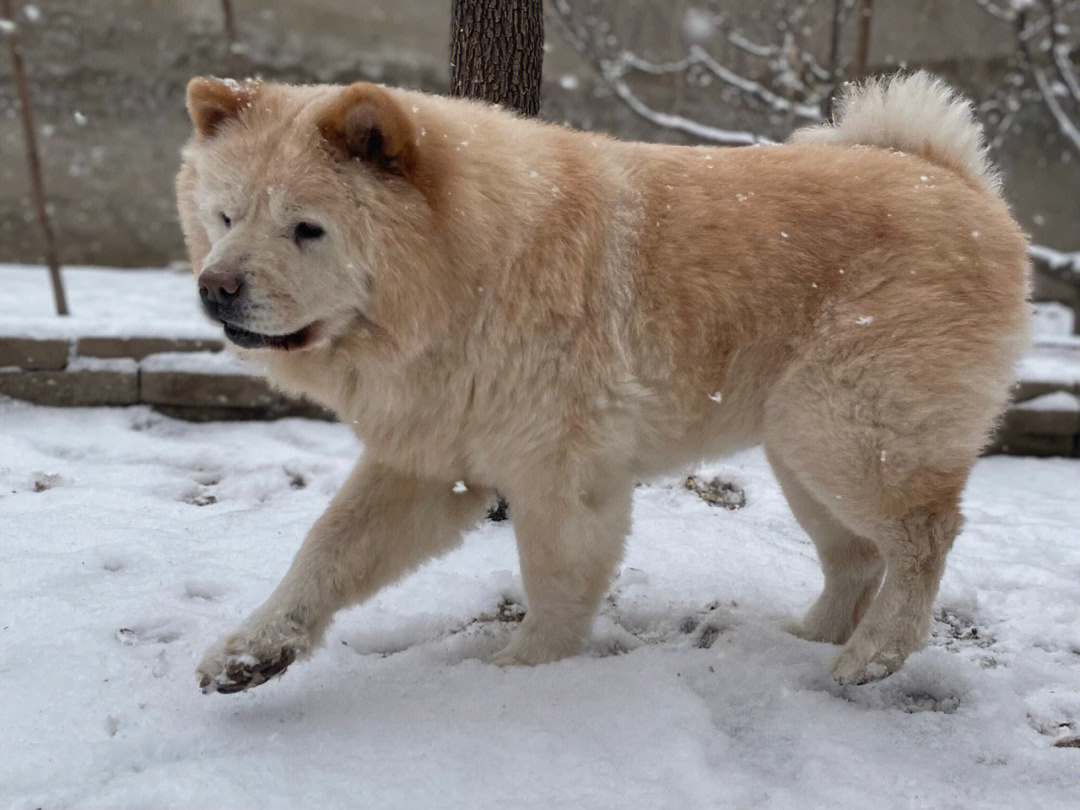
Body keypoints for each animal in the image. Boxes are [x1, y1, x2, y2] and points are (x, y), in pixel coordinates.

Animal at [177, 69, 1028, 695]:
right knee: (856, 557)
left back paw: (875, 653)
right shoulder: (431, 462)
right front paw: (253, 651)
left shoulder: (560, 475)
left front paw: (523, 677)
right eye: (225, 218)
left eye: (306, 229)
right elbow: (326, 552)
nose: (214, 287)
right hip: (802, 451)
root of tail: (958, 182)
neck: (471, 272)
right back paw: (807, 638)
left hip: (847, 431)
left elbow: (554, 582)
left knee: (922, 536)